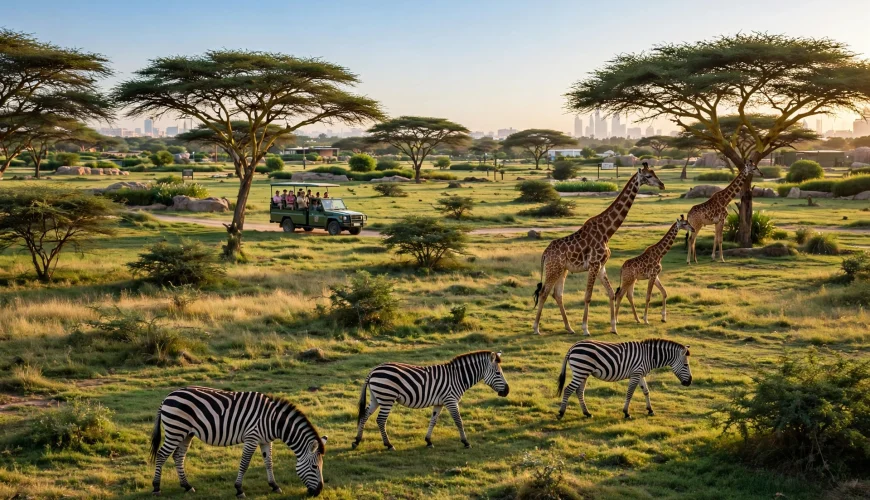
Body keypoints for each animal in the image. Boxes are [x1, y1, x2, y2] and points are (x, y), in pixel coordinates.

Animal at [149, 386, 328, 497]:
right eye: (314, 467)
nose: (319, 492)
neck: (274, 421)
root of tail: (167, 397)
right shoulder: (251, 437)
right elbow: (245, 463)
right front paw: (239, 489)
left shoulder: (265, 440)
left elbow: (269, 462)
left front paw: (274, 486)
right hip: (175, 430)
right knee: (162, 455)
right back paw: (156, 487)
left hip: (186, 433)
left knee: (178, 457)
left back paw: (186, 486)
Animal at [352, 351, 510, 450]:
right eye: (498, 373)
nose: (507, 391)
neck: (458, 377)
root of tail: (373, 370)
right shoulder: (451, 400)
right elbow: (459, 421)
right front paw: (465, 442)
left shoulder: (439, 403)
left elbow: (433, 421)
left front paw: (428, 441)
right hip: (386, 397)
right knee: (380, 420)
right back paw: (388, 444)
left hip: (376, 398)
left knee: (365, 415)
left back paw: (357, 441)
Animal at [532, 164, 665, 336]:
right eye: (648, 176)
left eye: (654, 173)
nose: (662, 185)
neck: (607, 232)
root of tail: (545, 254)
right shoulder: (594, 264)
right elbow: (588, 296)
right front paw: (585, 329)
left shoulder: (601, 265)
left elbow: (611, 293)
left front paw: (614, 327)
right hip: (553, 269)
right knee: (544, 293)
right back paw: (536, 328)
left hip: (562, 270)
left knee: (557, 294)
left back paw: (569, 328)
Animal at [555, 339, 692, 419]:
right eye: (686, 365)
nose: (689, 382)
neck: (649, 356)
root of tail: (572, 347)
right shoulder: (636, 373)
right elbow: (630, 393)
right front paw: (626, 413)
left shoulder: (640, 374)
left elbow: (646, 391)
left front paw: (650, 410)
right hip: (581, 370)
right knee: (568, 389)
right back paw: (561, 413)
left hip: (583, 373)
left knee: (579, 391)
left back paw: (587, 413)